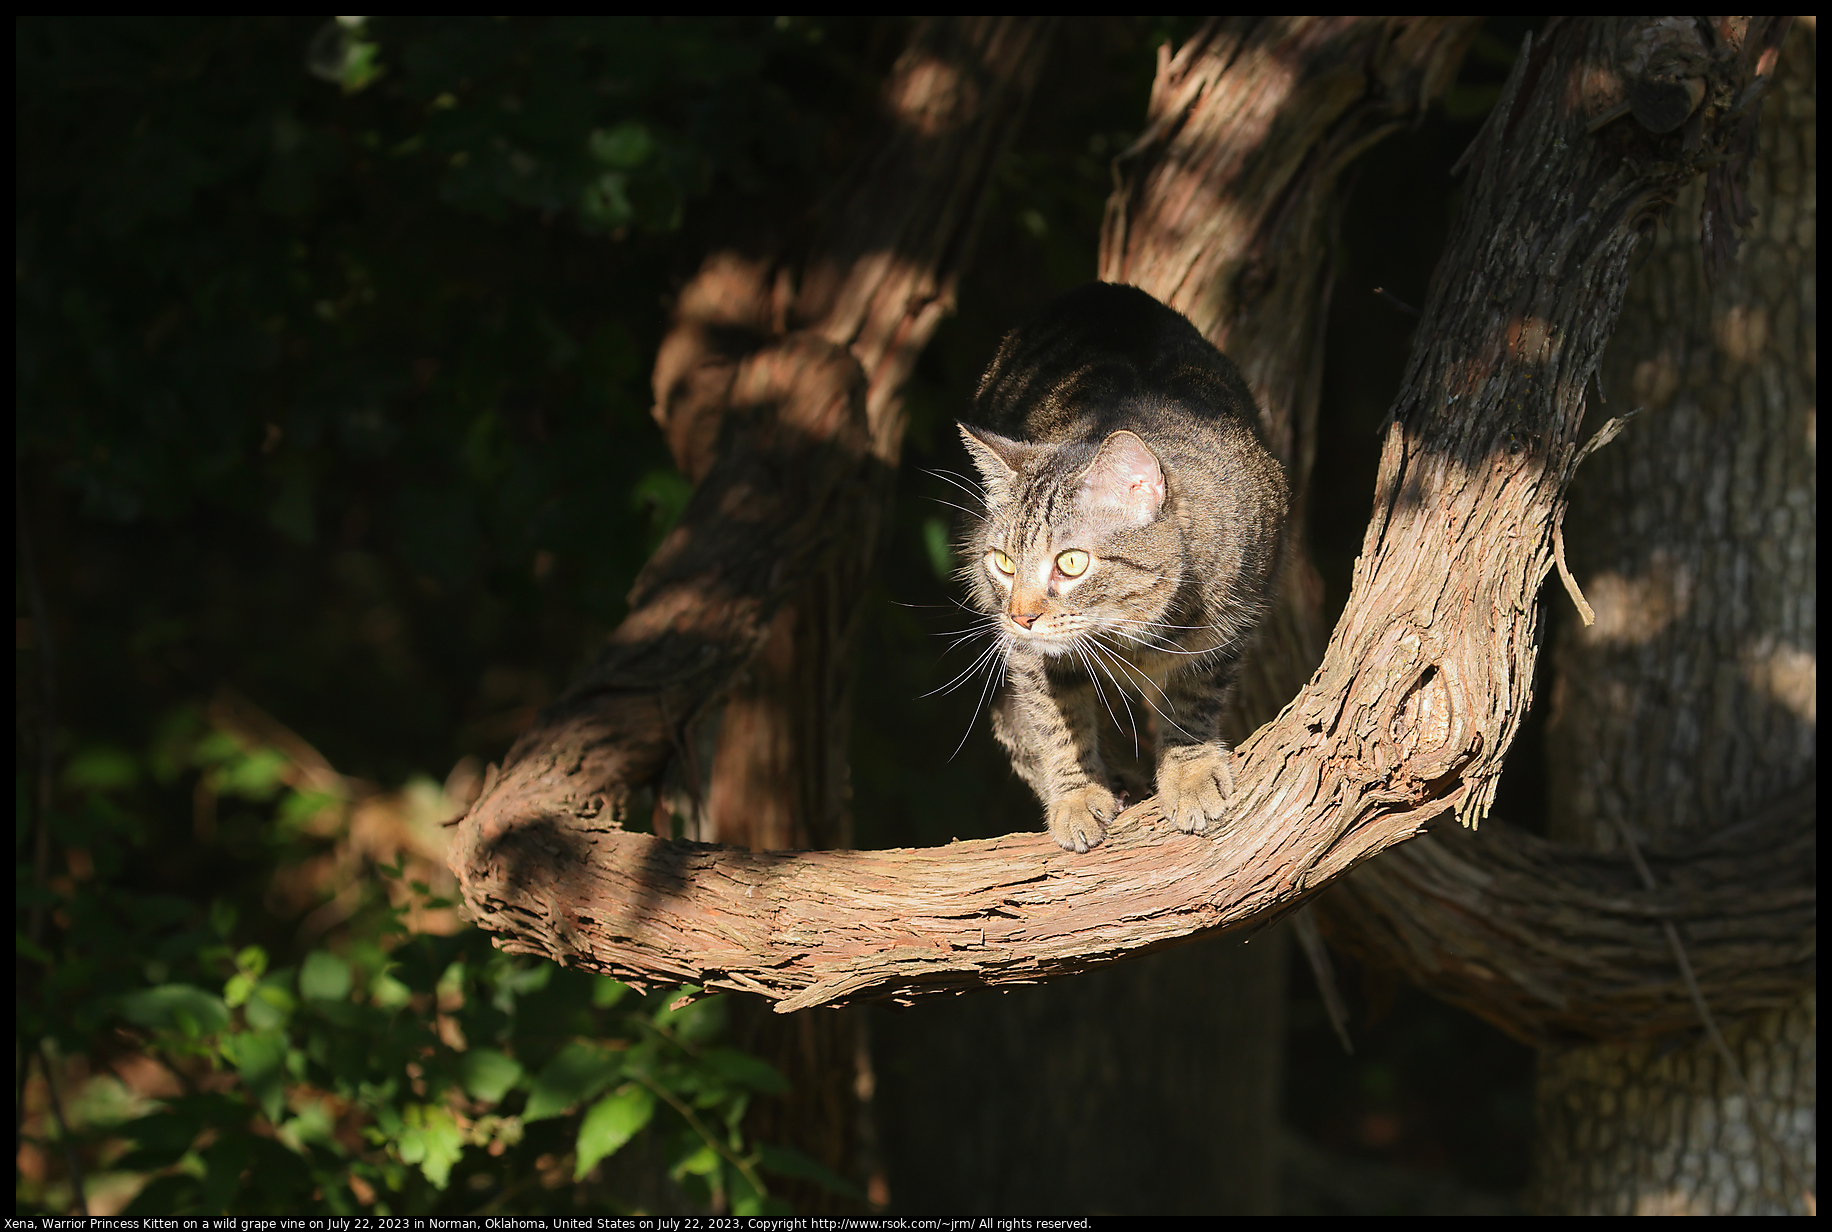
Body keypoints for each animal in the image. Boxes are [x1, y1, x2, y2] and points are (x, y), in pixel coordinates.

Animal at [959, 282, 1289, 850]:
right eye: (1002, 562)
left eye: (1071, 562)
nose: (1020, 616)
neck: (1129, 632)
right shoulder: (1029, 658)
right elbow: (1056, 721)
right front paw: (1075, 796)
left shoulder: (1230, 624)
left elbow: (1193, 700)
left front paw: (1189, 773)